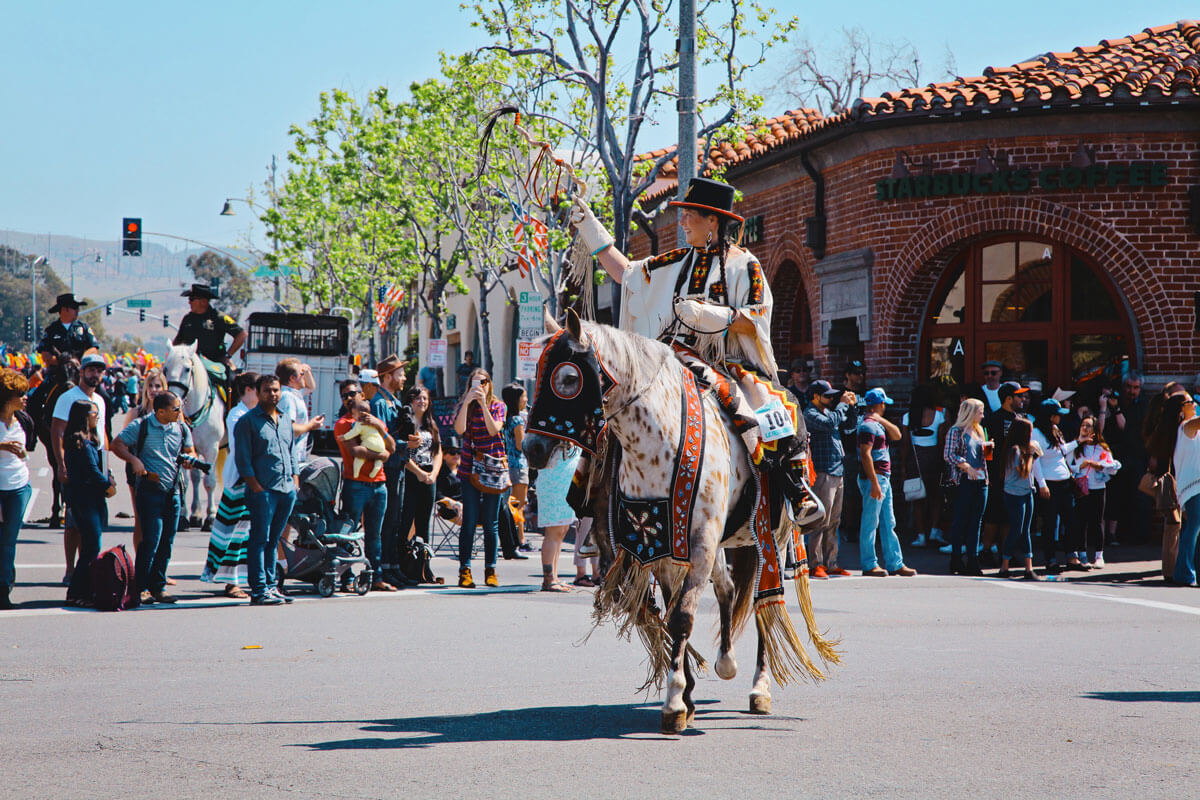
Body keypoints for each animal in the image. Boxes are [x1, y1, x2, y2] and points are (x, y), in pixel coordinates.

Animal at [160, 340, 224, 527]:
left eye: (187, 369)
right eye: (165, 369)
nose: (173, 399)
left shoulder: (212, 449)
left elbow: (209, 482)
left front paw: (211, 517)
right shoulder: (183, 449)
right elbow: (186, 482)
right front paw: (185, 517)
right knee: (195, 478)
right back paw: (195, 514)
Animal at [520, 309, 840, 734]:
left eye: (568, 378)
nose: (532, 449)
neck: (657, 444)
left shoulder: (700, 545)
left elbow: (683, 618)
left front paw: (674, 701)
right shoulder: (662, 549)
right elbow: (674, 615)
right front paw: (685, 695)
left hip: (773, 537)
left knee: (764, 605)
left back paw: (760, 687)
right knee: (728, 590)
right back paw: (726, 662)